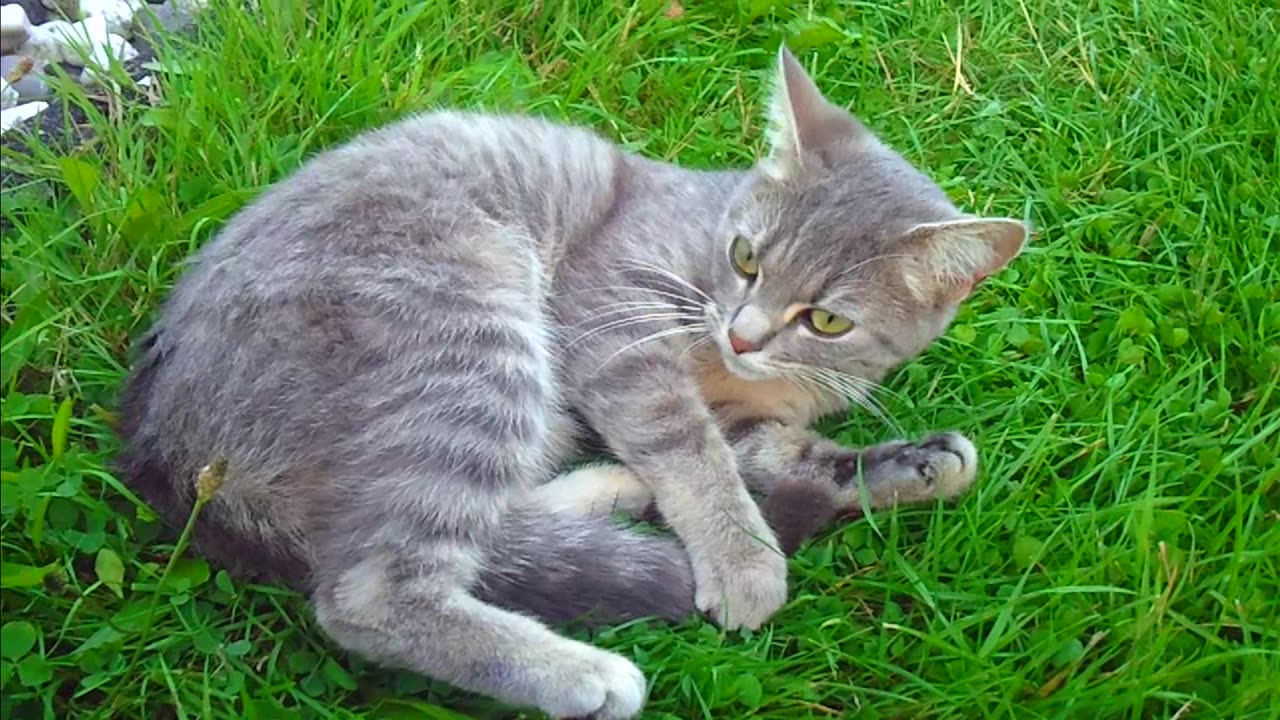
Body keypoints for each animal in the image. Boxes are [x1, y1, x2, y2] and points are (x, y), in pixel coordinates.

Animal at [117, 49, 1029, 717]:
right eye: (746, 257)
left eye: (829, 320)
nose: (741, 332)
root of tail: (174, 445)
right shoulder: (615, 324)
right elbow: (691, 450)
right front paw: (742, 557)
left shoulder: (758, 411)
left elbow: (778, 454)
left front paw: (910, 465)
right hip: (471, 338)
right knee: (373, 589)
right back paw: (586, 672)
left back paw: (609, 490)